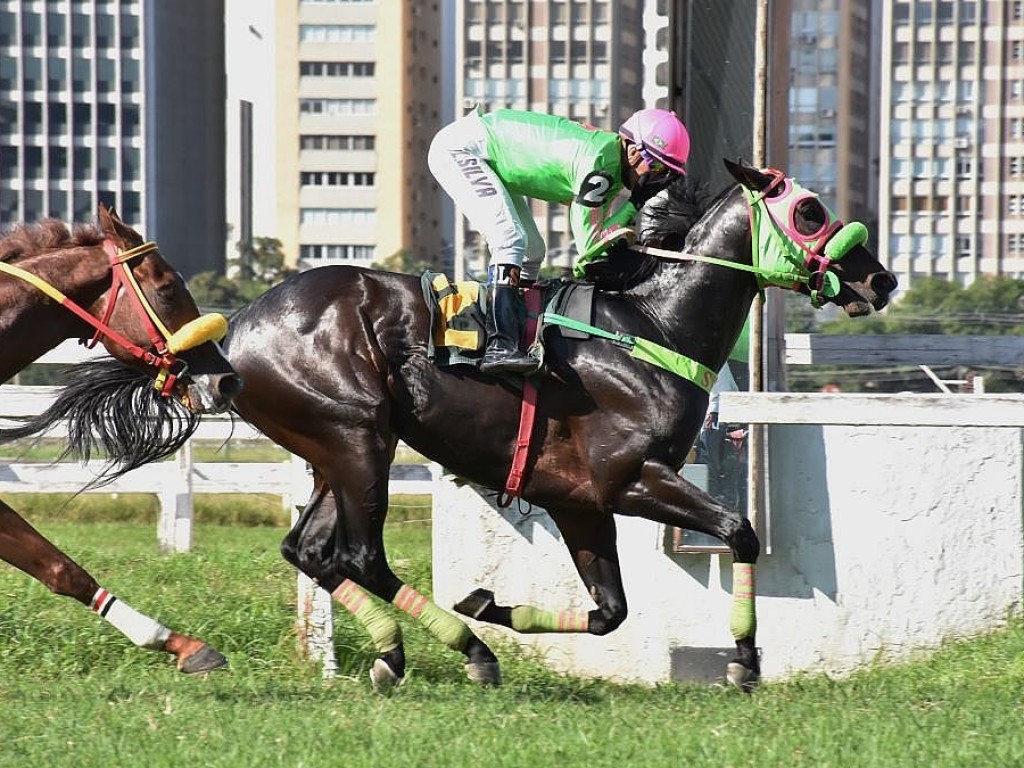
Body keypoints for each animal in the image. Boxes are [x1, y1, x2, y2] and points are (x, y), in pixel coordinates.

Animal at [222, 160, 897, 692]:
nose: (881, 279)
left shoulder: (579, 502)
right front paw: (745, 661)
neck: (653, 326)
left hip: (335, 449)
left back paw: (395, 652)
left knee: (309, 550)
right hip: (357, 438)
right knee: (360, 556)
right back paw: (469, 651)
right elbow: (740, 531)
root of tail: (238, 326)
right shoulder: (628, 479)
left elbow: (610, 611)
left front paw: (492, 604)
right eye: (809, 211)